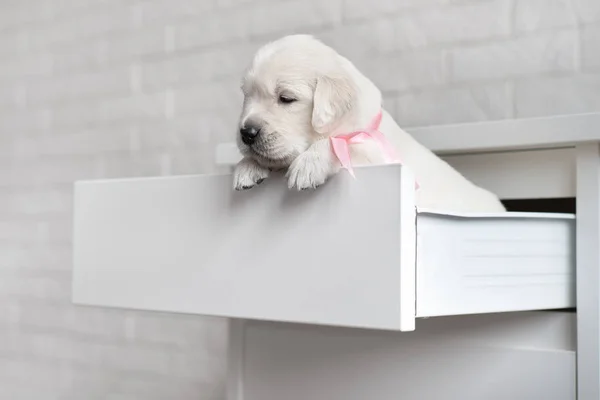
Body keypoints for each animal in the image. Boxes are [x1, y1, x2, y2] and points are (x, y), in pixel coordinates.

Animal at [232, 35, 504, 212]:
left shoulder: (373, 152)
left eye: (286, 98)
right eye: (246, 95)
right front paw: (247, 167)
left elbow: (339, 144)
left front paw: (309, 164)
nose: (247, 133)